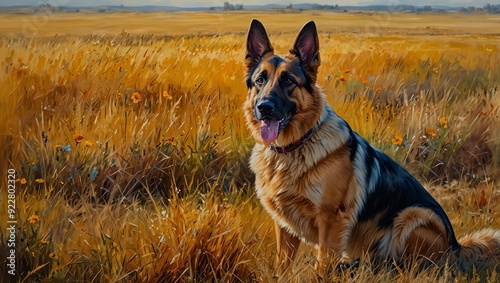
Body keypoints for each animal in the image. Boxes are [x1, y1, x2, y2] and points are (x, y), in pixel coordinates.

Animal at [243, 19, 500, 272]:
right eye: (260, 80)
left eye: (288, 80)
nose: (264, 107)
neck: (295, 147)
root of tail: (456, 246)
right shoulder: (284, 225)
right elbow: (282, 265)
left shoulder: (332, 220)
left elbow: (322, 266)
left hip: (413, 215)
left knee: (410, 263)